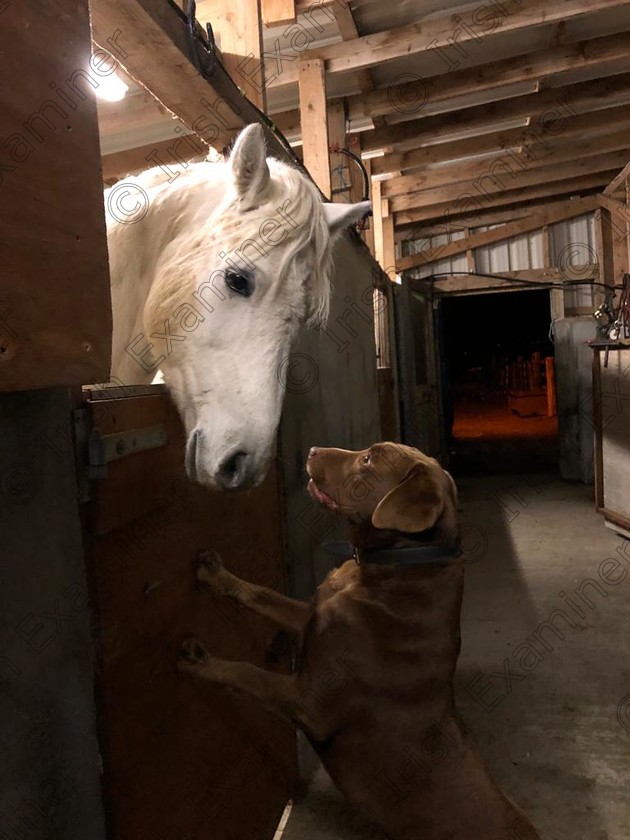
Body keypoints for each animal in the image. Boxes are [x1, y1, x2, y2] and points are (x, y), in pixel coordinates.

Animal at [179, 442, 544, 836]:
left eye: (368, 459)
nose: (311, 450)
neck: (394, 568)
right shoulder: (309, 617)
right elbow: (262, 594)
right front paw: (216, 573)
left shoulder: (310, 702)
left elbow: (251, 674)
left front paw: (201, 660)